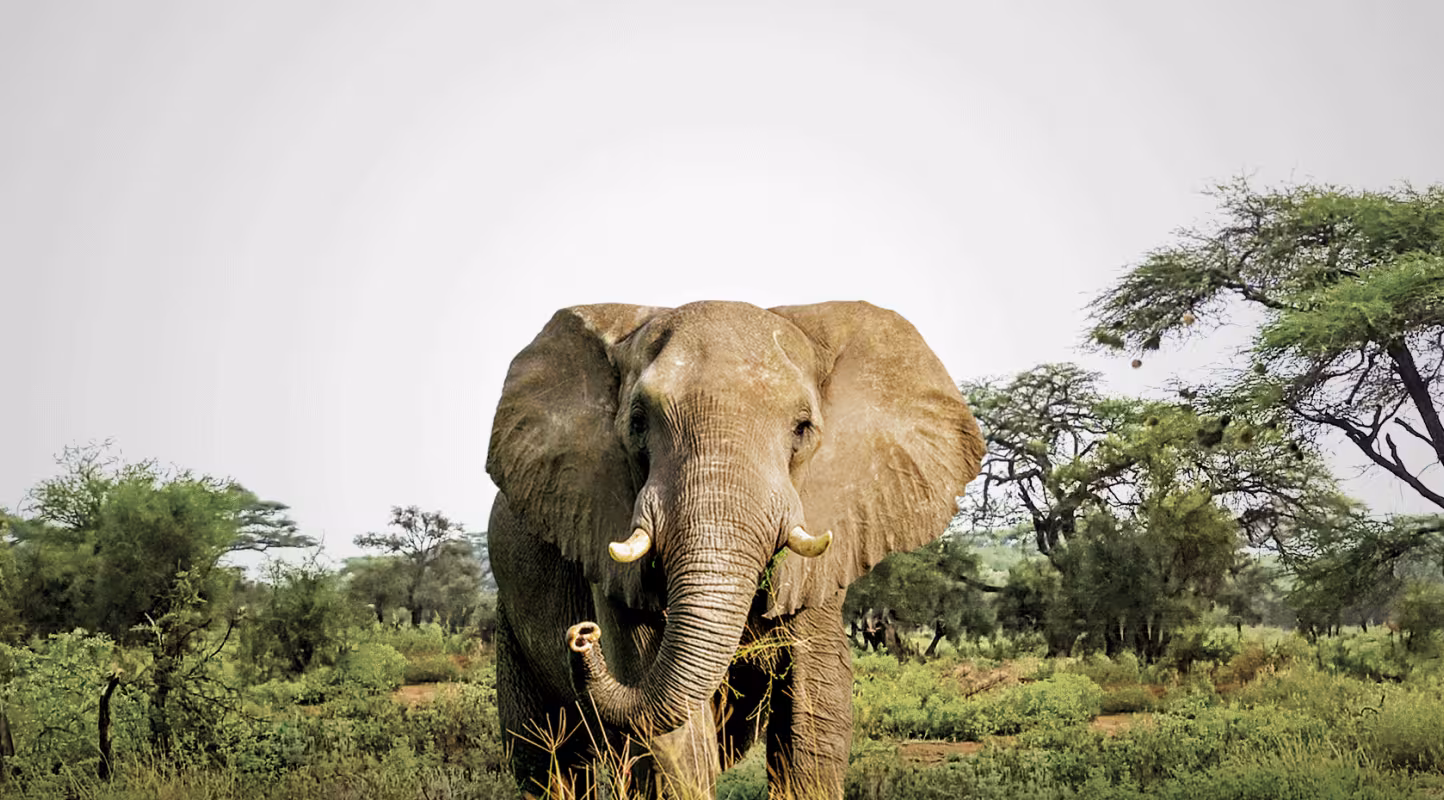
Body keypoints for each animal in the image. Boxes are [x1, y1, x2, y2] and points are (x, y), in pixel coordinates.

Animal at [485, 300, 984, 798]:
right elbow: (671, 734)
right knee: (549, 760)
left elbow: (816, 707)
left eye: (803, 428)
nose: (582, 635)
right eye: (637, 422)